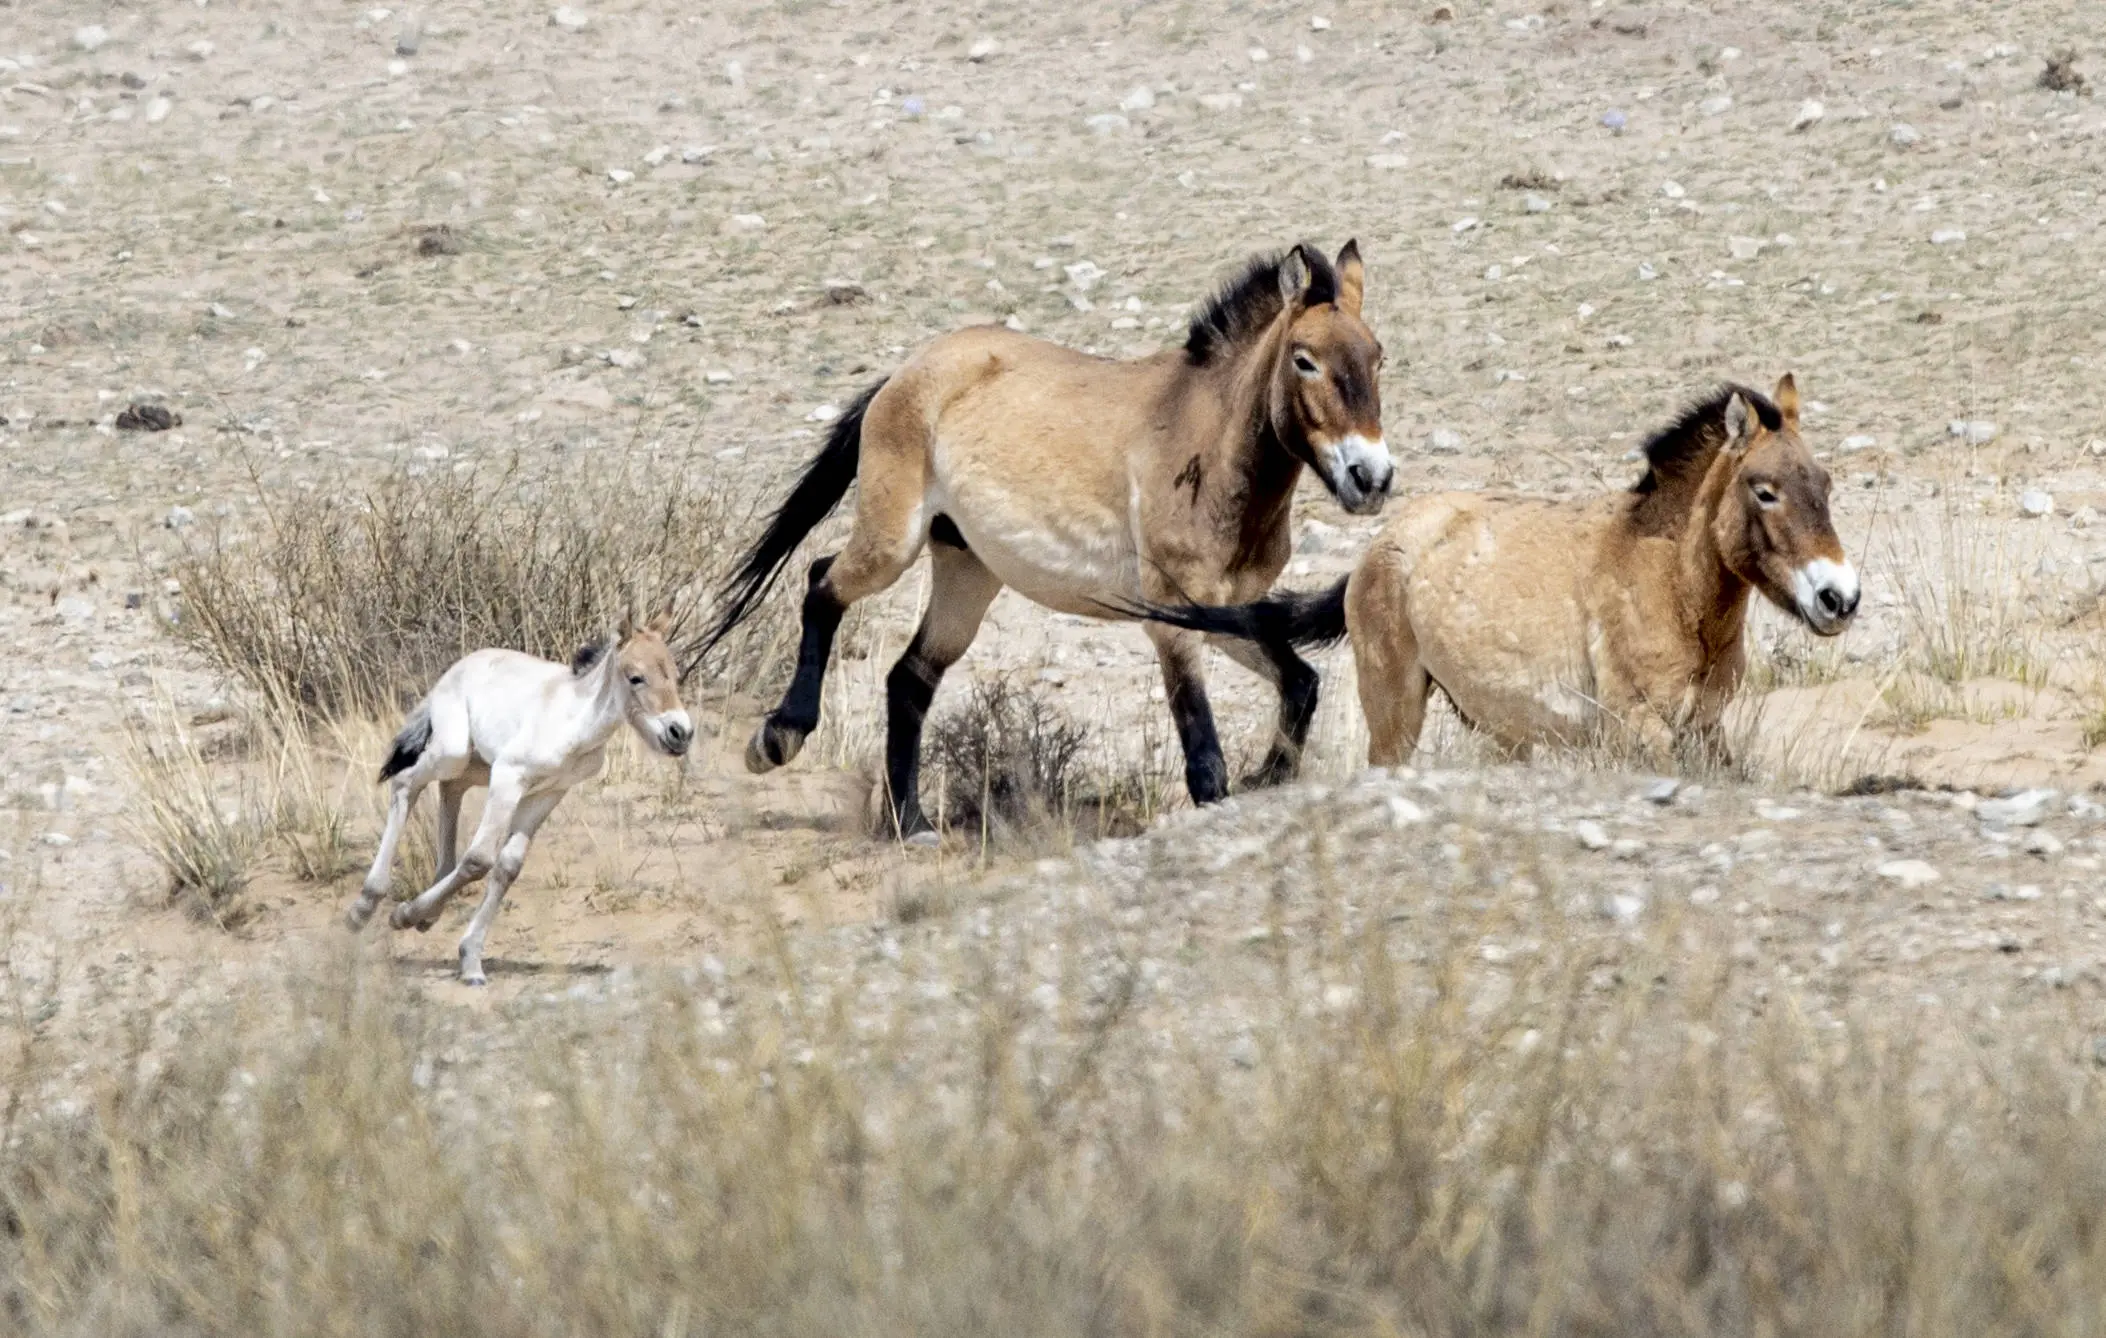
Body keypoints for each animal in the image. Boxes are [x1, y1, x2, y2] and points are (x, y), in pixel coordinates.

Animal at [343, 606, 693, 985]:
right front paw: (406, 917)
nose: (680, 733)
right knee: (407, 782)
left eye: (674, 674)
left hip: (476, 765)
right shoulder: (509, 778)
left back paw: (426, 914)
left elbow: (508, 866)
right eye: (635, 677)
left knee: (450, 790)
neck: (574, 721)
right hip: (453, 753)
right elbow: (479, 859)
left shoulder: (550, 791)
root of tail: (456, 668)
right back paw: (365, 907)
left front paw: (468, 956)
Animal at [700, 241, 1393, 841]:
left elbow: (1300, 685)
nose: (1371, 477)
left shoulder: (1219, 611)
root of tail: (908, 371)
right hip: (891, 544)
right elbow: (1205, 759)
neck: (1207, 443)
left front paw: (1267, 779)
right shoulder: (1171, 622)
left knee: (909, 676)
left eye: (1377, 356)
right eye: (1304, 359)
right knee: (822, 584)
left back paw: (911, 824)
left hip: (967, 572)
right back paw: (778, 741)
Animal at [1136, 375, 1859, 768]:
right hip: (1394, 712)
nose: (1839, 598)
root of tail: (1381, 545)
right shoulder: (1640, 733)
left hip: (1501, 732)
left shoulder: (1705, 731)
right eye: (1764, 490)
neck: (1667, 581)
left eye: (1824, 483)